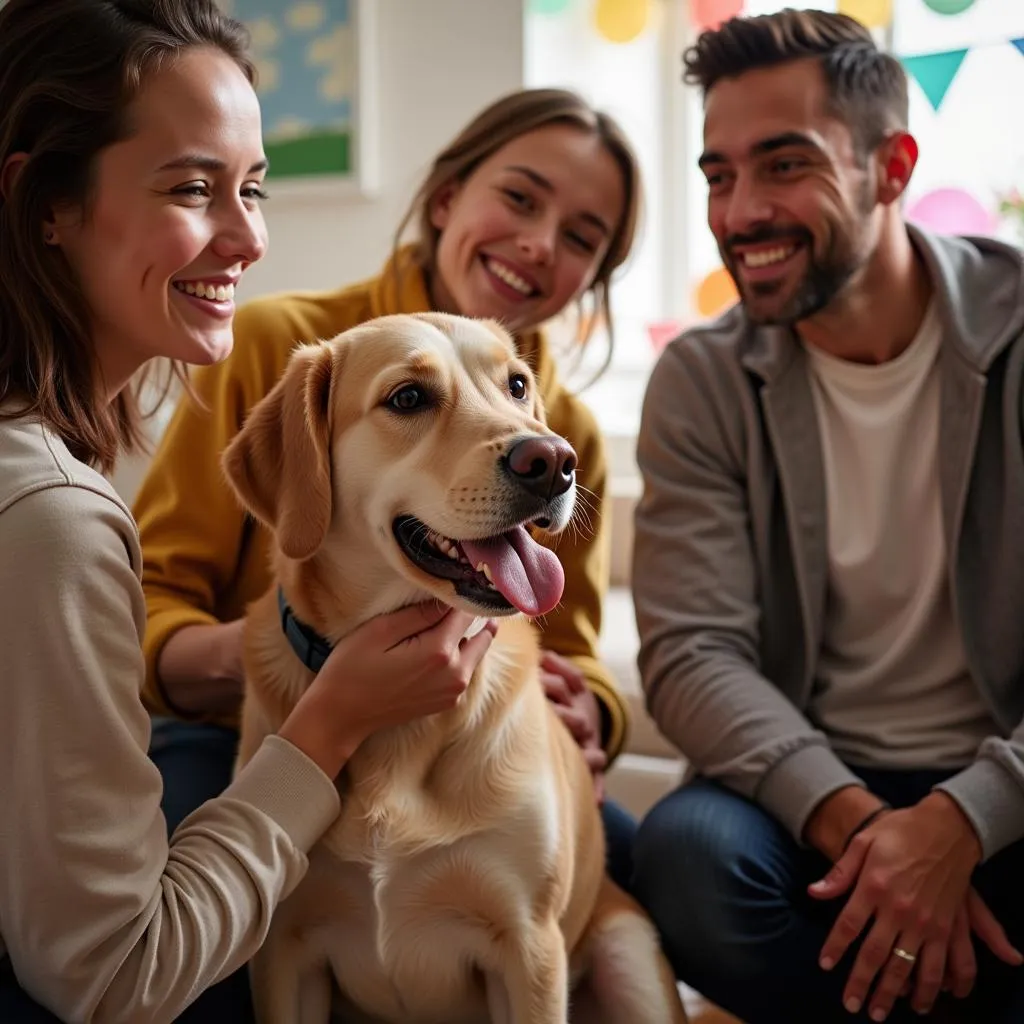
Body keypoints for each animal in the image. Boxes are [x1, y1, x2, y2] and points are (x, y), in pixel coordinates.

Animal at [224, 311, 688, 1024]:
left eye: (518, 384)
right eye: (408, 397)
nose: (554, 461)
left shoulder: (529, 947)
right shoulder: (284, 953)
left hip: (628, 952)